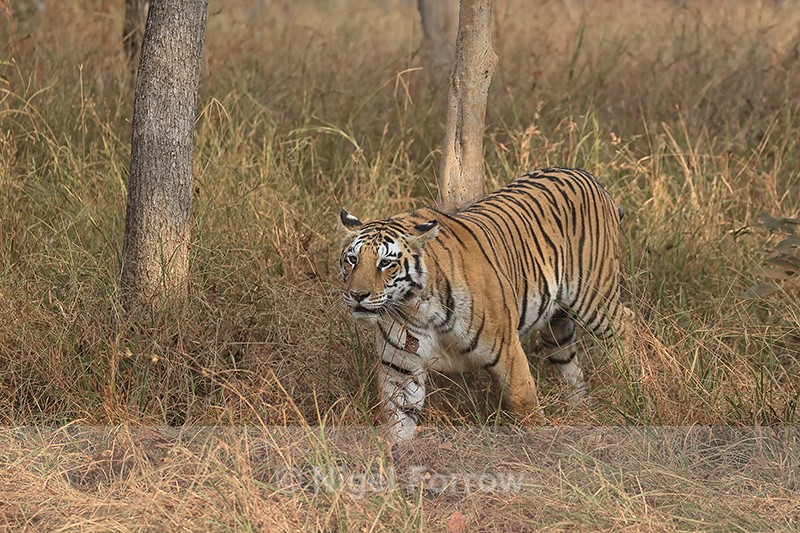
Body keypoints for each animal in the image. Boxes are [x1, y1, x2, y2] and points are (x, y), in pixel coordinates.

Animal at [338, 167, 633, 444]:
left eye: (385, 263)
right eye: (352, 259)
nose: (357, 295)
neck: (416, 309)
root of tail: (587, 175)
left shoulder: (508, 352)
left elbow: (525, 404)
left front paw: (539, 444)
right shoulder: (400, 367)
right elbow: (397, 420)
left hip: (594, 296)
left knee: (624, 324)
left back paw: (622, 384)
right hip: (555, 325)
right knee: (568, 360)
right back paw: (579, 406)